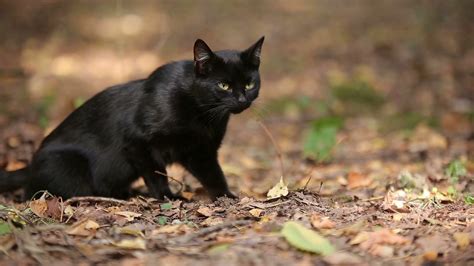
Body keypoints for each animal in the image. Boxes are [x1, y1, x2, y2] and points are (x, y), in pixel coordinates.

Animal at [0, 37, 262, 200]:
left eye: (250, 83)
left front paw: (228, 197)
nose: (242, 99)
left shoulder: (201, 151)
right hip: (69, 164)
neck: (203, 114)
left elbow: (214, 175)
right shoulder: (138, 141)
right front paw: (169, 197)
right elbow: (156, 174)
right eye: (224, 85)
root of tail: (30, 166)